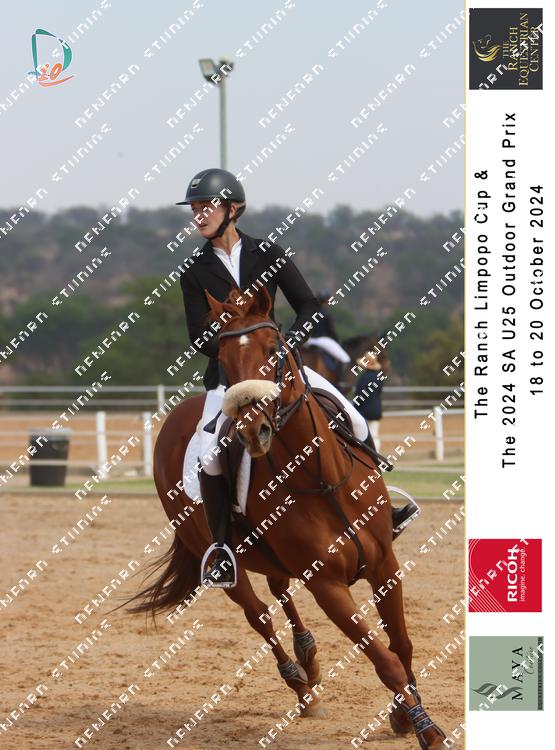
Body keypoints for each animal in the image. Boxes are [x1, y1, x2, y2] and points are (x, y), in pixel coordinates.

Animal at [126, 285, 446, 748]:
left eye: (274, 350)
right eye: (223, 358)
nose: (252, 429)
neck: (321, 480)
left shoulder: (385, 564)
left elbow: (400, 645)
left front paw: (404, 713)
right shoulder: (327, 585)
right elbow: (382, 657)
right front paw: (424, 726)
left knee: (279, 589)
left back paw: (307, 656)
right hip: (221, 558)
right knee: (258, 613)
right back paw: (300, 685)